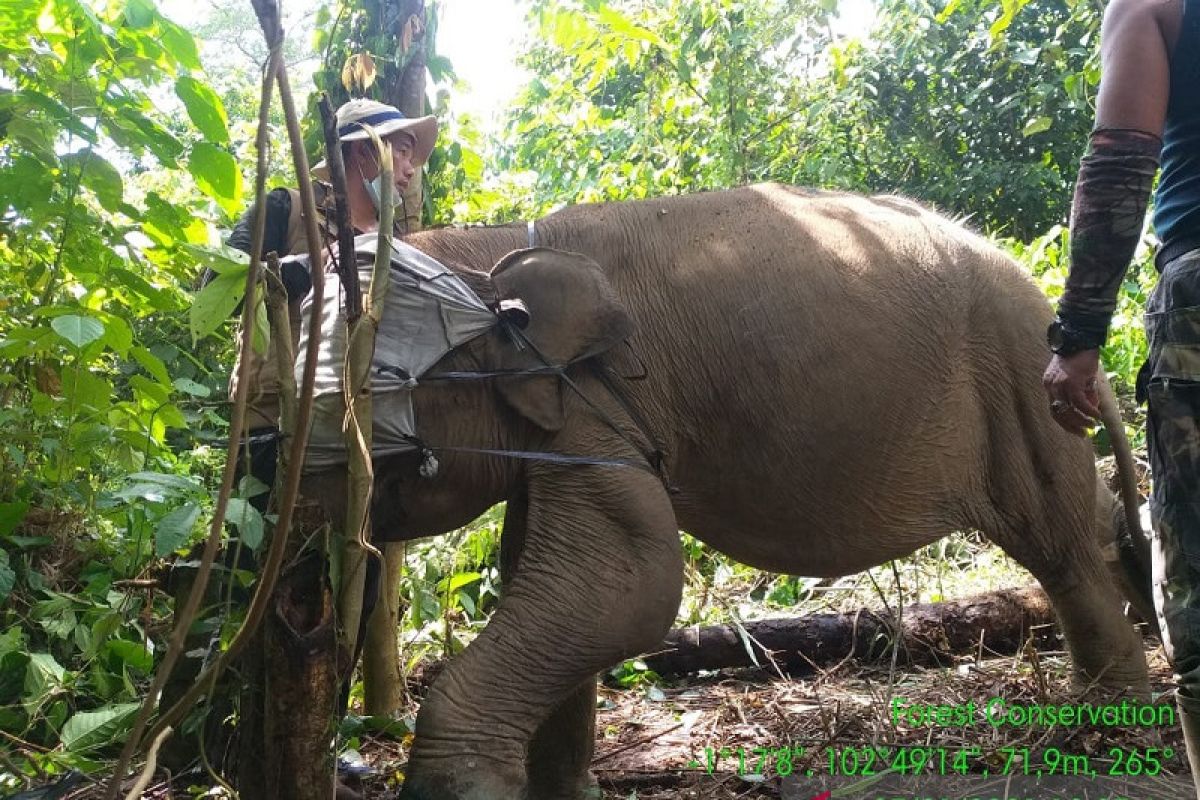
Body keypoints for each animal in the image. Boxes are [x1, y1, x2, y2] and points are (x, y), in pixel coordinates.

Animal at [302, 183, 1152, 800]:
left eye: (366, 393)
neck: (494, 246)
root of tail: (1035, 286)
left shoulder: (596, 403)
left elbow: (630, 583)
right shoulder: (565, 423)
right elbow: (561, 582)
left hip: (1017, 377)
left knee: (1058, 543)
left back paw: (1105, 722)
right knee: (1086, 525)